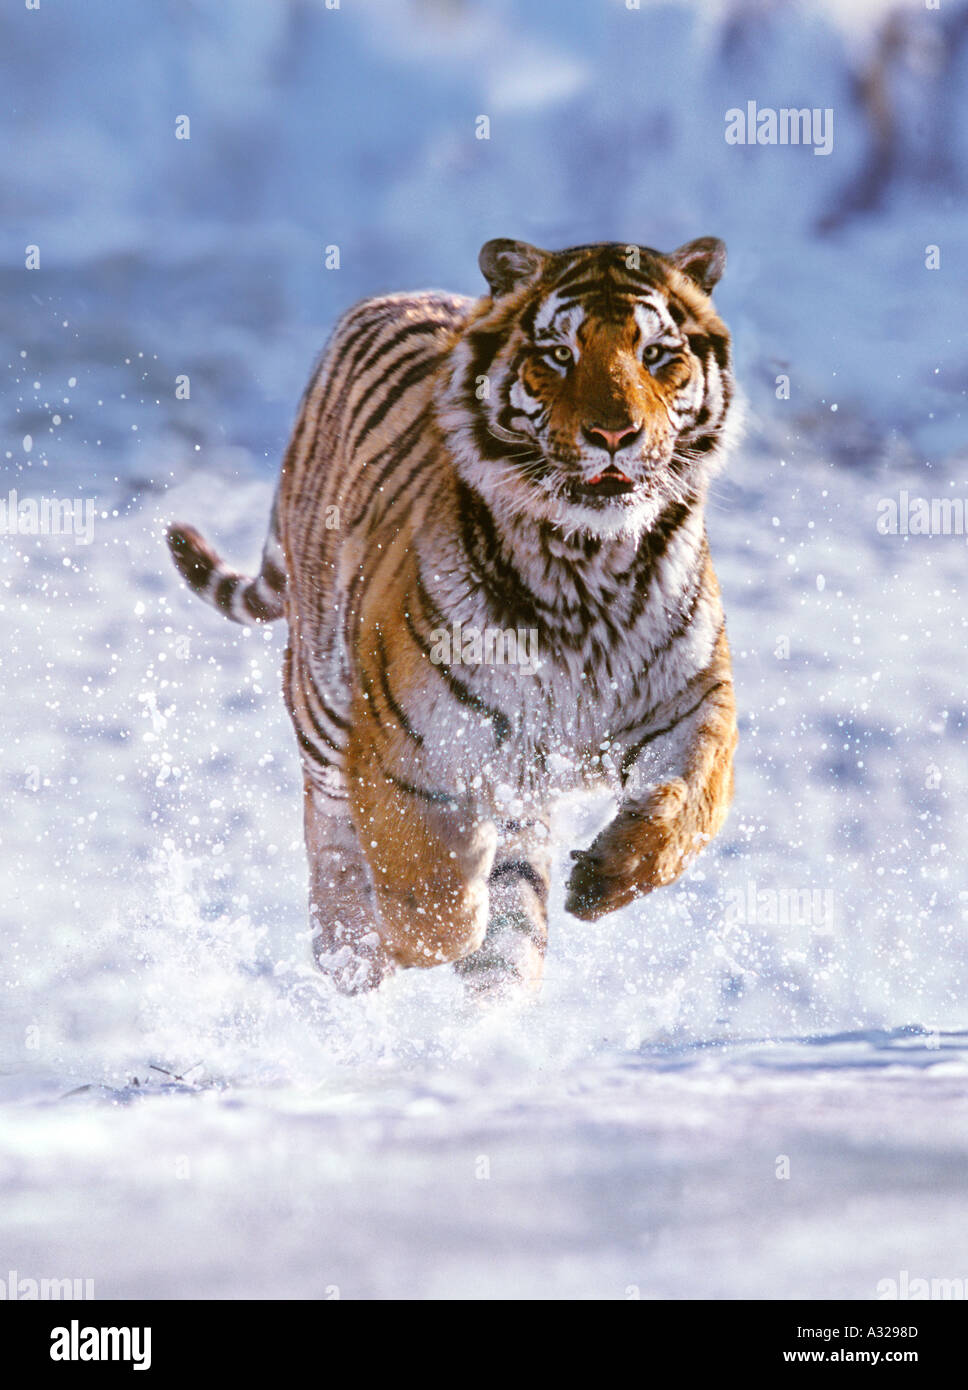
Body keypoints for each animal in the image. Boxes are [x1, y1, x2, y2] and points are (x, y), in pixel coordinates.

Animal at [167, 237, 739, 997]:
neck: (586, 567)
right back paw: (350, 953)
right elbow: (434, 906)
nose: (615, 433)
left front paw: (606, 878)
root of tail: (395, 296)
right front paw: (399, 939)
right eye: (559, 355)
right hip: (323, 705)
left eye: (656, 355)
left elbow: (690, 804)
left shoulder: (695, 703)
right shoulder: (404, 751)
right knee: (330, 833)